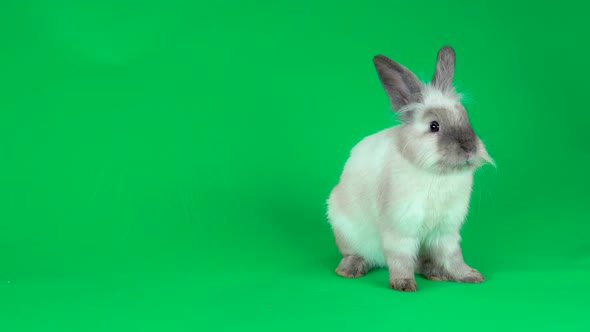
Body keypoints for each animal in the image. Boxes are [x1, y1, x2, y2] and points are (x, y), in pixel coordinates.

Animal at [328, 46, 494, 290]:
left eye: (465, 118)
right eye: (434, 126)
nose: (468, 148)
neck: (437, 174)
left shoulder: (446, 231)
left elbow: (453, 256)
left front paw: (470, 275)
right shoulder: (400, 228)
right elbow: (401, 257)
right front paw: (404, 284)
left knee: (422, 261)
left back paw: (436, 273)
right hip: (346, 232)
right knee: (359, 254)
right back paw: (349, 270)